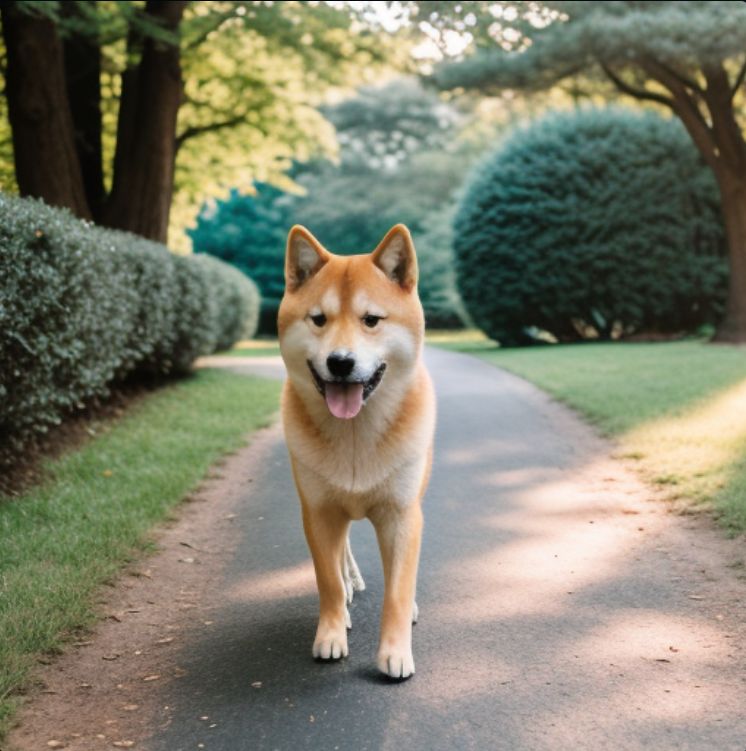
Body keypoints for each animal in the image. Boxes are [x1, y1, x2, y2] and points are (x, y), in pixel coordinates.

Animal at [276, 223, 434, 680]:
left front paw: (395, 653)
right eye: (319, 319)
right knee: (342, 552)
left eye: (371, 320)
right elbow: (326, 579)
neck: (354, 435)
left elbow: (398, 590)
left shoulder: (402, 515)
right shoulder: (318, 512)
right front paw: (330, 633)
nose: (341, 362)